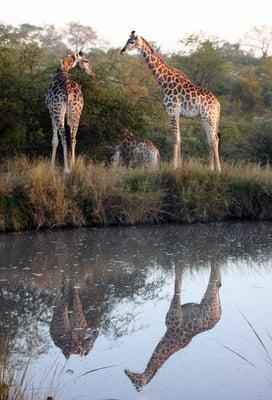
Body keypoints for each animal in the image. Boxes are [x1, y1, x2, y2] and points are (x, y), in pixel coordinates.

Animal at [120, 31, 221, 172]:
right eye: (127, 40)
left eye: (131, 42)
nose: (122, 51)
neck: (164, 82)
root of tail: (218, 104)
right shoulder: (177, 113)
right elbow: (179, 138)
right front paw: (179, 165)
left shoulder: (172, 111)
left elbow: (176, 138)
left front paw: (174, 166)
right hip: (207, 118)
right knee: (212, 139)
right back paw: (213, 168)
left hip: (209, 117)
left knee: (214, 140)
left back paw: (215, 169)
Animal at [124, 262, 222, 390]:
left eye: (134, 382)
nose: (126, 371)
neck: (168, 337)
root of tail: (218, 316)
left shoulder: (175, 307)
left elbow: (177, 282)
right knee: (219, 281)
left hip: (209, 297)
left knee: (214, 275)